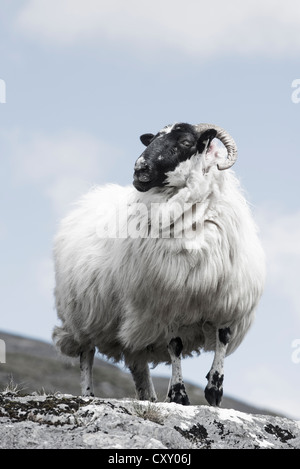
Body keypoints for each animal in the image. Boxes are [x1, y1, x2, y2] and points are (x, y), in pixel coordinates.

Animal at [52, 122, 264, 404]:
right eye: (151, 140)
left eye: (186, 142)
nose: (139, 168)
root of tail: (89, 199)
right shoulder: (165, 304)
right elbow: (175, 346)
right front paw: (178, 395)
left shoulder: (227, 303)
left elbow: (222, 340)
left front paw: (214, 390)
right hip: (84, 314)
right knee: (87, 353)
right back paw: (89, 394)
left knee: (137, 362)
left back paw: (149, 397)